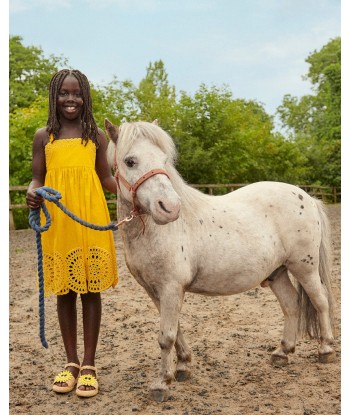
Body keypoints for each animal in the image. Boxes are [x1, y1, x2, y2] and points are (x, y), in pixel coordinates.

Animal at [104, 119, 336, 404]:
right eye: (130, 161)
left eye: (164, 159)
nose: (169, 208)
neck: (156, 232)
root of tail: (308, 197)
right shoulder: (155, 291)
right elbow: (176, 329)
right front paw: (183, 366)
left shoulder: (170, 288)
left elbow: (166, 336)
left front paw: (161, 384)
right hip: (277, 272)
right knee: (292, 305)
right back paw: (282, 353)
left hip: (305, 269)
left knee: (320, 301)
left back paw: (325, 350)